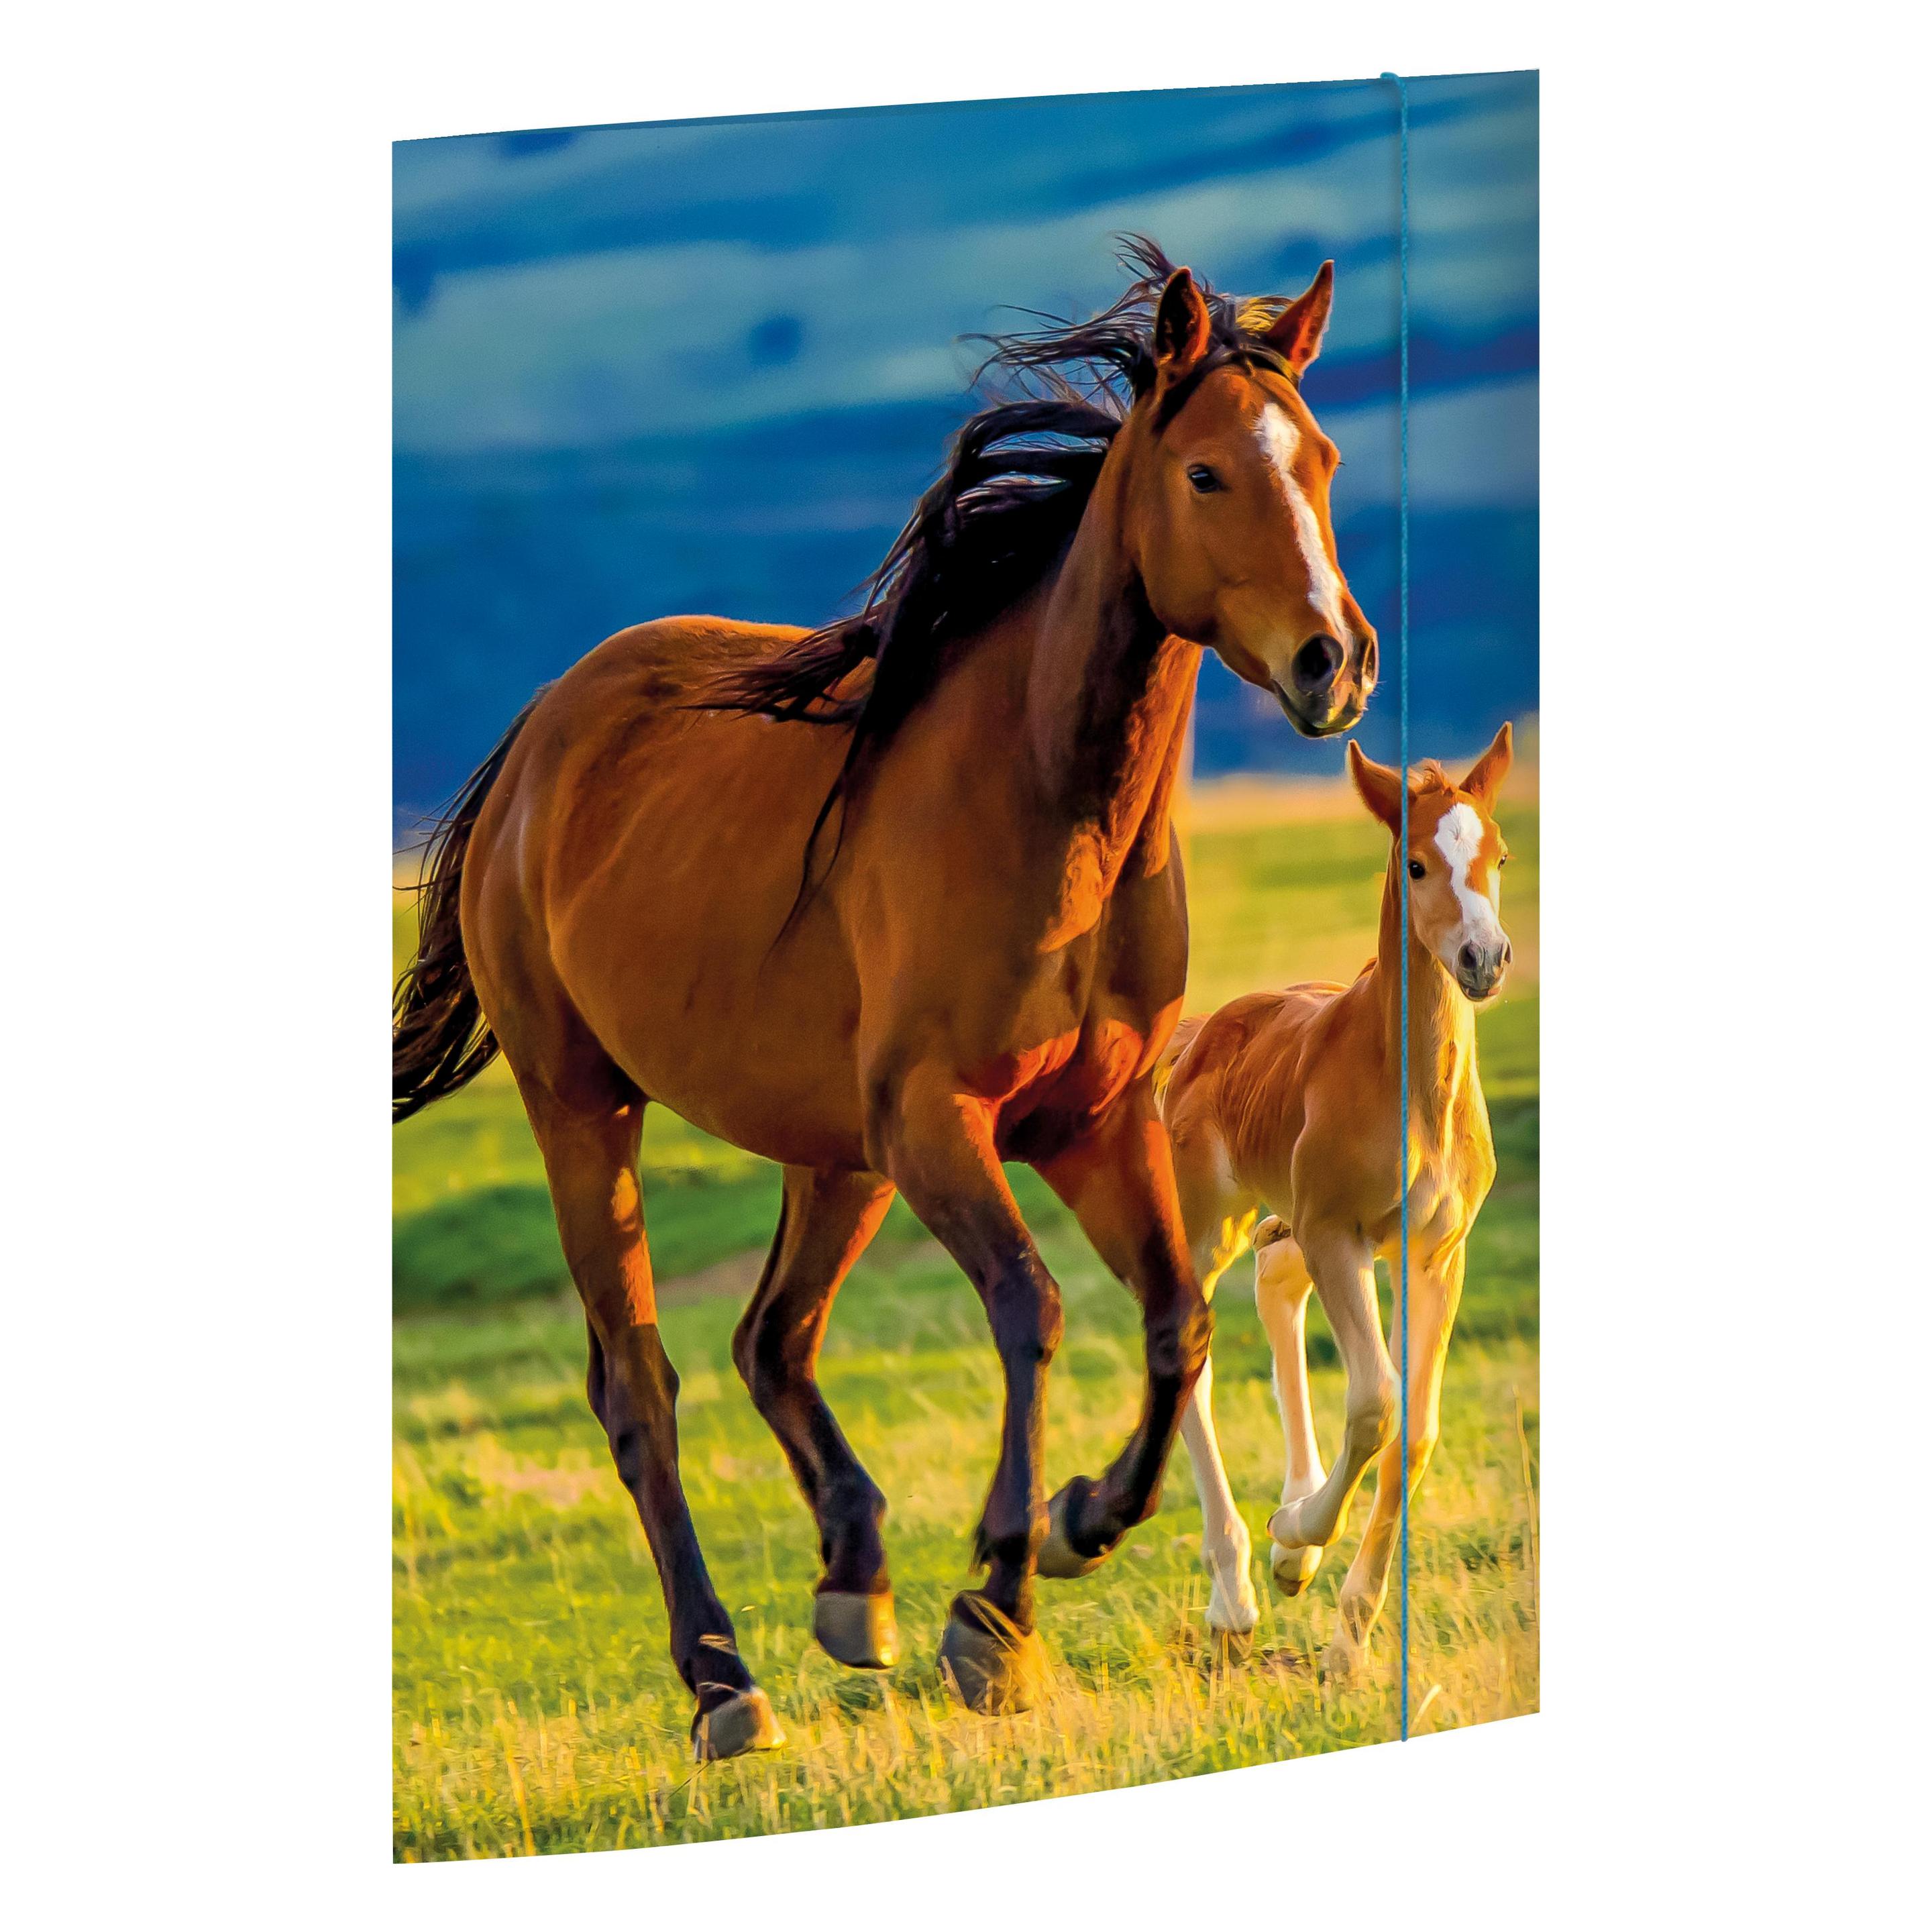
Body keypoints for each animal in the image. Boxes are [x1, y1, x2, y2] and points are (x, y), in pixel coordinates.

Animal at [392, 238, 1378, 1758]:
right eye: (1209, 473)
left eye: (1321, 458)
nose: (1337, 661)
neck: (1044, 805)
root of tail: (539, 740)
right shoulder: (941, 1123)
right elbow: (1032, 1310)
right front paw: (1000, 1608)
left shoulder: (1092, 1124)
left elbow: (1176, 1322)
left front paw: (1080, 1524)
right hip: (587, 1109)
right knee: (642, 1385)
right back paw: (723, 1682)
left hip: (832, 1151)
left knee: (772, 1340)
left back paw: (855, 1586)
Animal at [1157, 725, 1513, 1675]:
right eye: (1417, 864)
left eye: (1500, 856)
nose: (1486, 960)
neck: (1410, 1087)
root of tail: (1200, 1033)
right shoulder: (1339, 1235)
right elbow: (1376, 1404)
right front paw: (1294, 1538)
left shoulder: (1435, 1254)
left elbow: (1414, 1431)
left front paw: (1349, 1639)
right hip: (1212, 1223)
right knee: (1192, 1348)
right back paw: (1239, 1591)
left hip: (1286, 1226)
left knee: (1276, 1288)